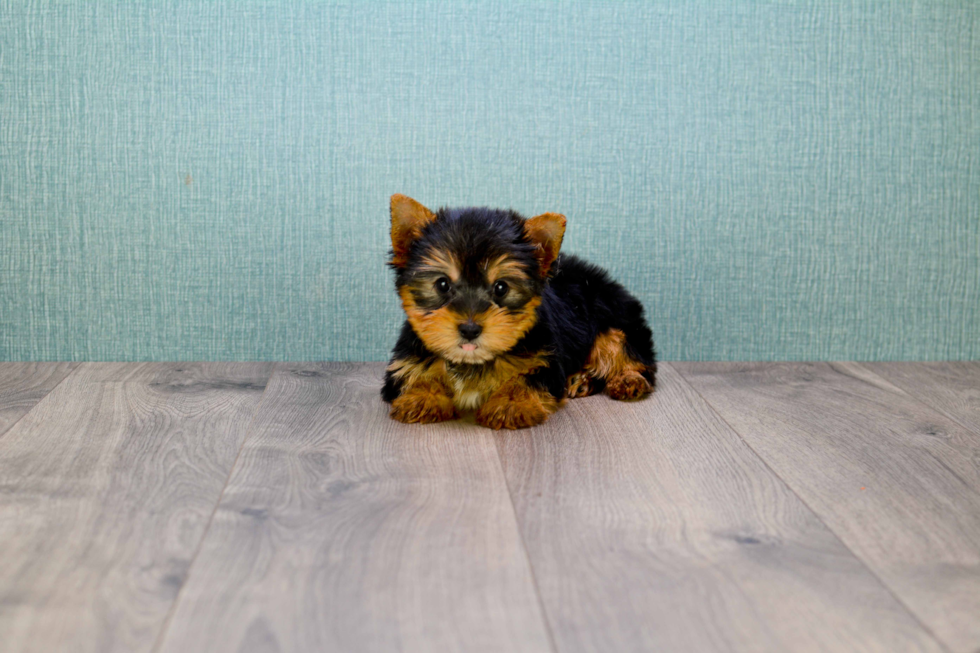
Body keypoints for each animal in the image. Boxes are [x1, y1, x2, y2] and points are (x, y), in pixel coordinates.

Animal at [382, 194, 660, 428]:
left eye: (501, 287)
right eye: (442, 284)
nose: (470, 329)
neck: (471, 362)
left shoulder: (544, 360)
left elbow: (526, 379)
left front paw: (510, 405)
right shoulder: (406, 361)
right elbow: (417, 376)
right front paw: (421, 399)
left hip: (616, 320)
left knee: (629, 354)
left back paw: (627, 380)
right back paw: (582, 380)